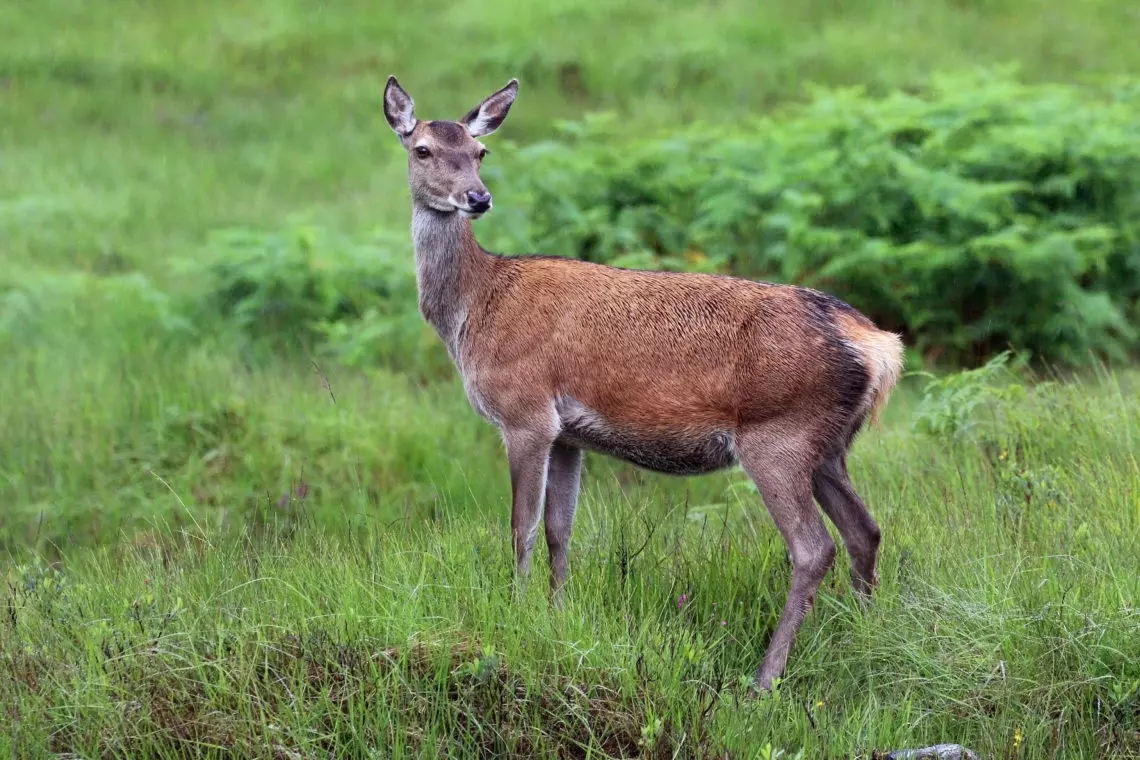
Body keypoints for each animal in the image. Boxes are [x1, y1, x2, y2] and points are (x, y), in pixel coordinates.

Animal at [387, 75, 902, 688]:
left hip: (779, 435)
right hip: (829, 445)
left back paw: (765, 677)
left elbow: (521, 527)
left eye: (480, 151)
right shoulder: (568, 434)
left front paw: (514, 614)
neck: (474, 308)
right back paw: (862, 638)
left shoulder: (524, 412)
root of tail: (879, 346)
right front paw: (556, 617)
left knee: (813, 547)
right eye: (423, 150)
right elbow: (560, 529)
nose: (478, 197)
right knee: (865, 530)